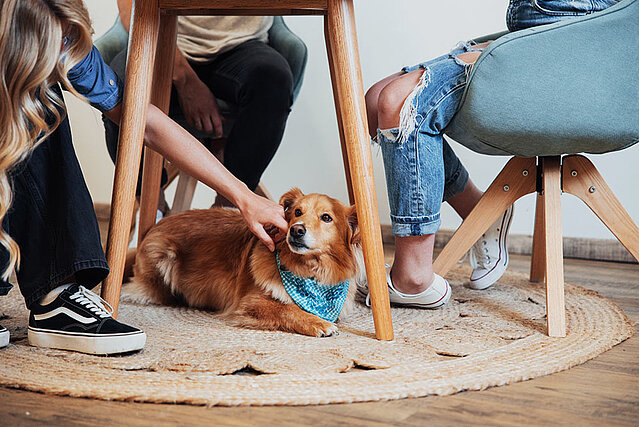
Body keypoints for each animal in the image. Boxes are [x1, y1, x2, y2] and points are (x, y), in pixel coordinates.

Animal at [125, 188, 364, 338]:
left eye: (326, 218)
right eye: (297, 212)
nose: (296, 230)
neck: (309, 272)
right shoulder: (250, 303)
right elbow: (286, 309)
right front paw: (318, 323)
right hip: (164, 258)